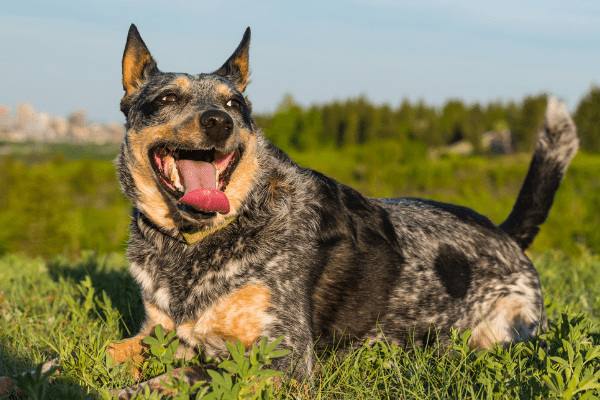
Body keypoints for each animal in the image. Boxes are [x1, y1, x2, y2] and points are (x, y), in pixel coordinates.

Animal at [0, 25, 580, 396]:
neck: (194, 244)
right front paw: (25, 376)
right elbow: (83, 355)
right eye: (166, 99)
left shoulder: (277, 359)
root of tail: (505, 234)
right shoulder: (158, 335)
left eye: (235, 105)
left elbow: (165, 382)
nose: (218, 121)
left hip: (500, 335)